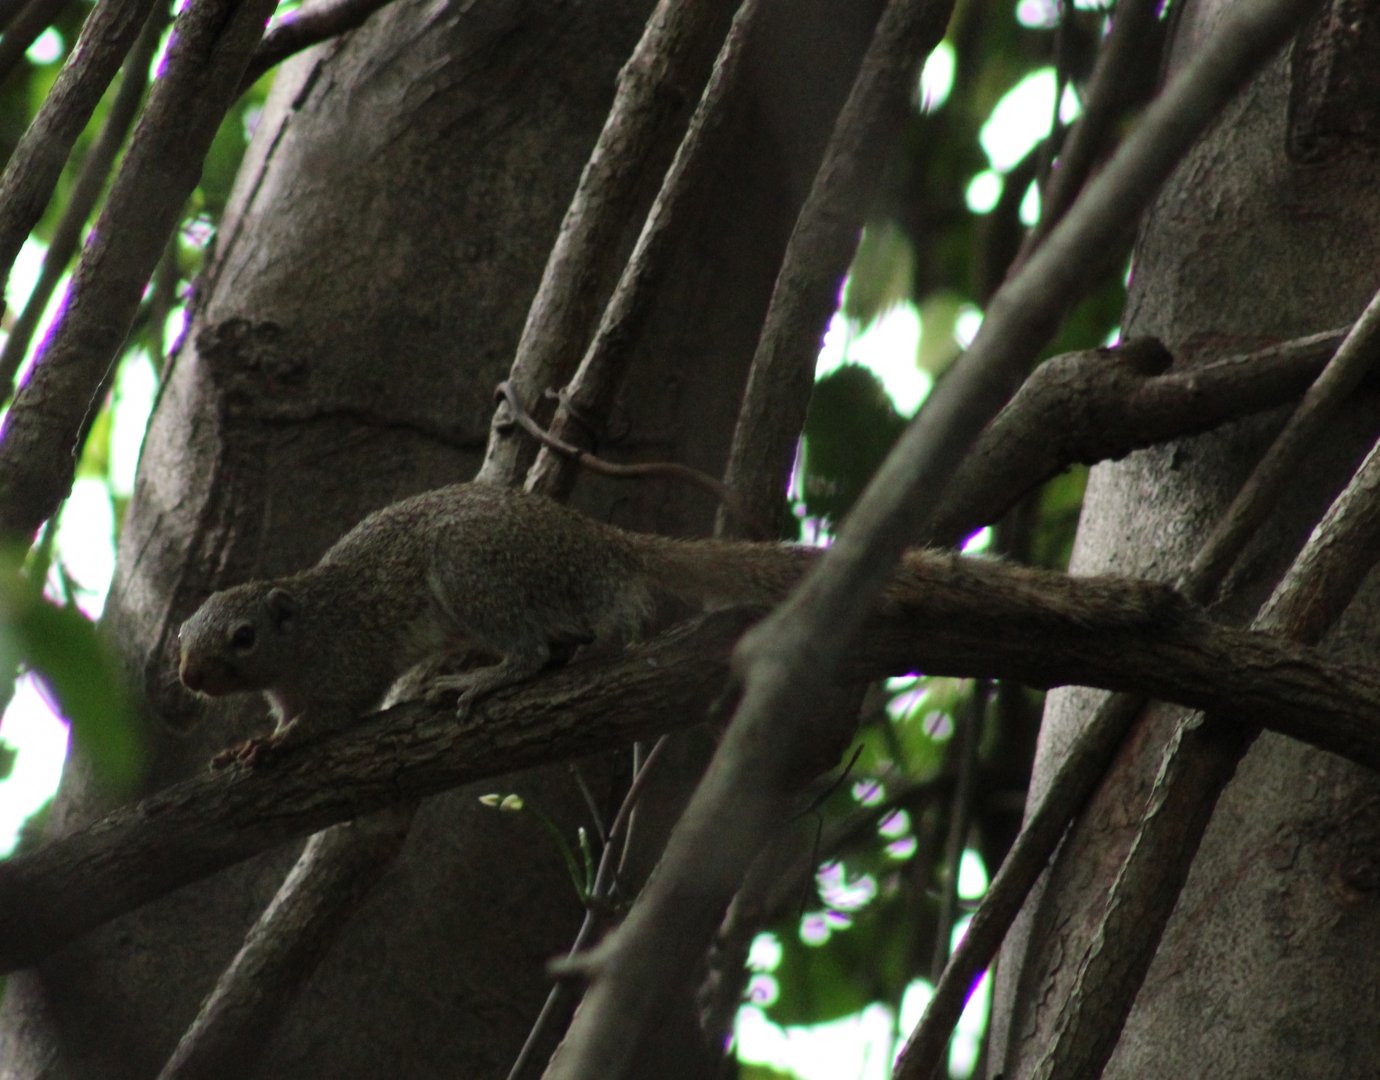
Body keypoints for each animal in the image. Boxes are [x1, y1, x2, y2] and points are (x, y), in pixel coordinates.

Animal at [178, 481, 1182, 763]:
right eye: (182, 640)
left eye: (241, 639)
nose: (188, 680)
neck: (303, 624)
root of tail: (603, 541)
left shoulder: (341, 662)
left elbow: (328, 714)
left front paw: (270, 744)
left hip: (476, 574)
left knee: (546, 642)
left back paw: (486, 673)